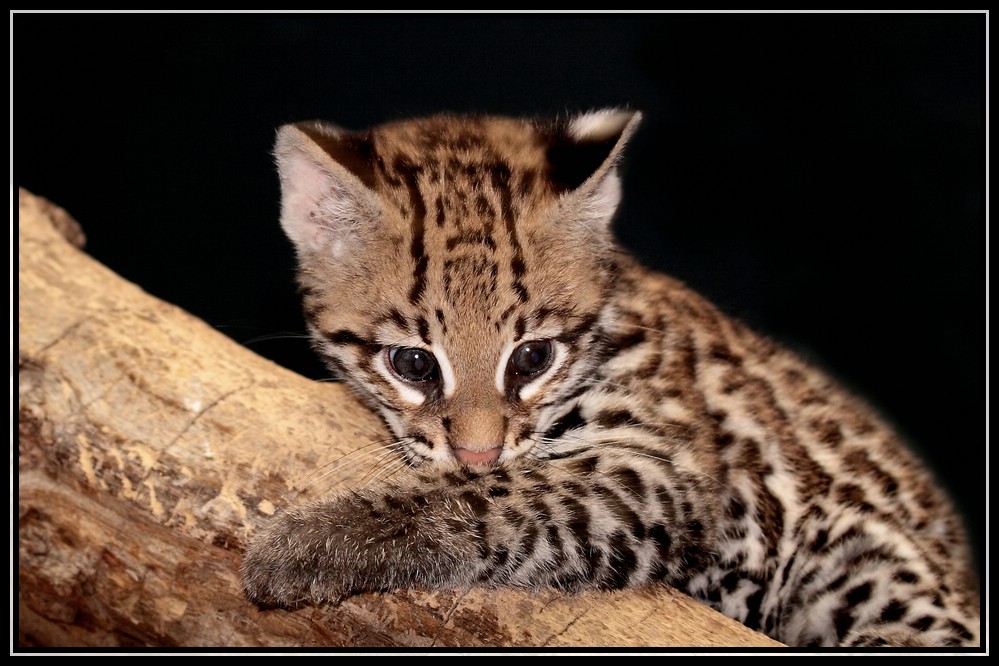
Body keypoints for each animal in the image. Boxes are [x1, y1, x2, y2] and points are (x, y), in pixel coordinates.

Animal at [238, 107, 980, 644]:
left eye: (532, 358)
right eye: (413, 364)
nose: (478, 452)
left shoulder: (660, 467)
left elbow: (499, 496)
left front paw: (309, 544)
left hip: (871, 563)